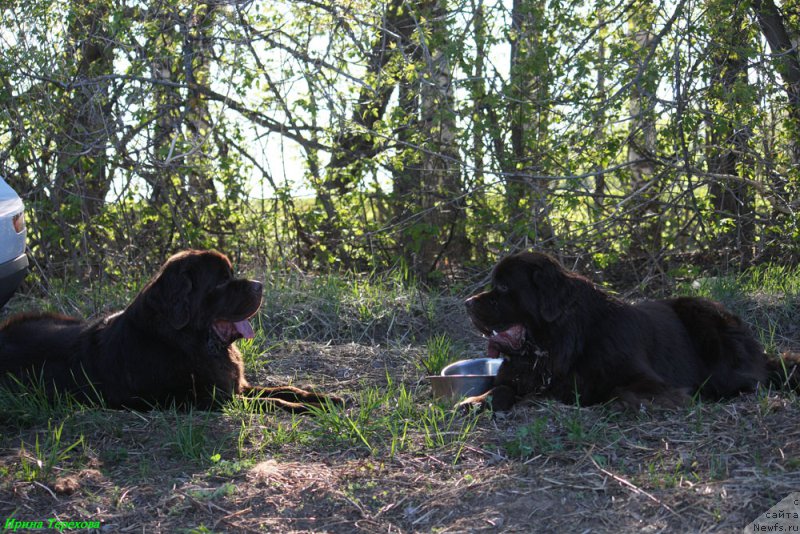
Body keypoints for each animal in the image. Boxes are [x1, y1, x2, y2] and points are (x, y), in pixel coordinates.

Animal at [0, 251, 340, 414]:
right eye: (221, 281)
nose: (260, 285)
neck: (185, 342)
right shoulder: (210, 398)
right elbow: (271, 401)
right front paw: (300, 409)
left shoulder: (235, 384)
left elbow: (285, 388)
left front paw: (325, 399)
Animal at [462, 253, 800, 412]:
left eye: (503, 288)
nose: (467, 303)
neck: (561, 343)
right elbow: (503, 388)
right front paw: (477, 401)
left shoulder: (646, 382)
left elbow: (617, 393)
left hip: (705, 320)